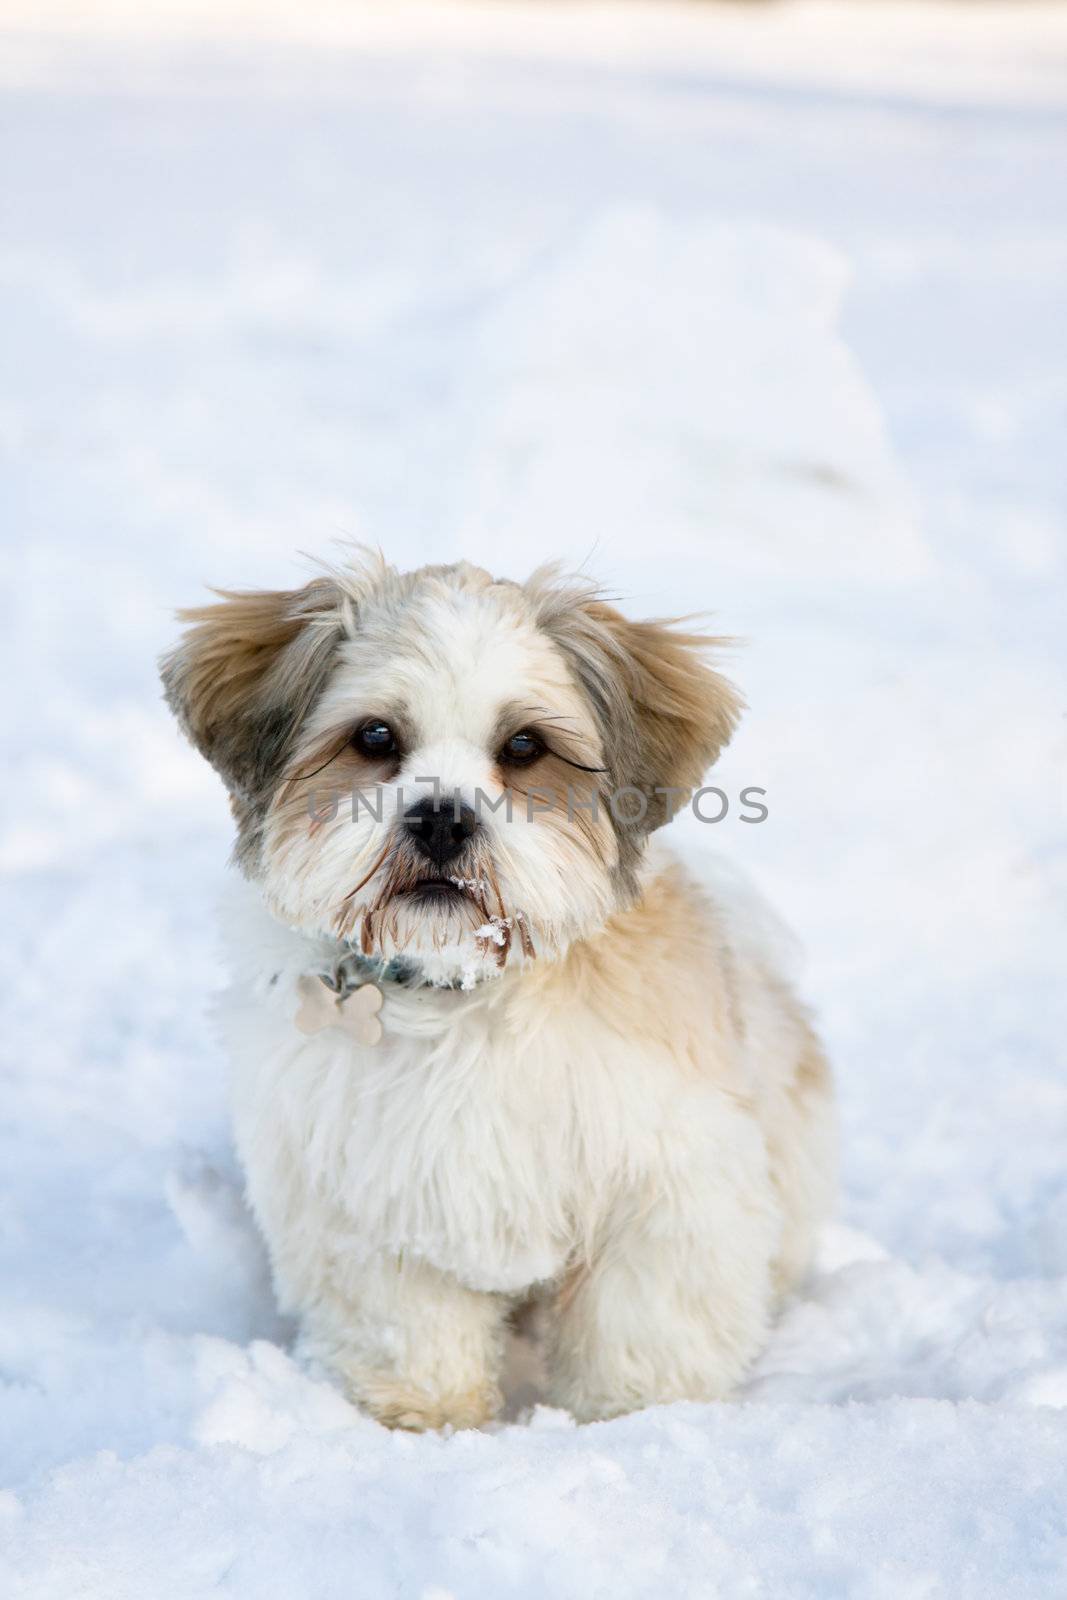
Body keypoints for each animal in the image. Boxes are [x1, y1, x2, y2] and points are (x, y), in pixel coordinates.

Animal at [163, 556, 838, 1433]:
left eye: (524, 746)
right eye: (374, 737)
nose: (441, 820)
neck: (459, 993)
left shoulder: (665, 1189)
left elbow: (642, 1326)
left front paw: (635, 1423)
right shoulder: (365, 1194)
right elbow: (406, 1328)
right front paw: (424, 1419)